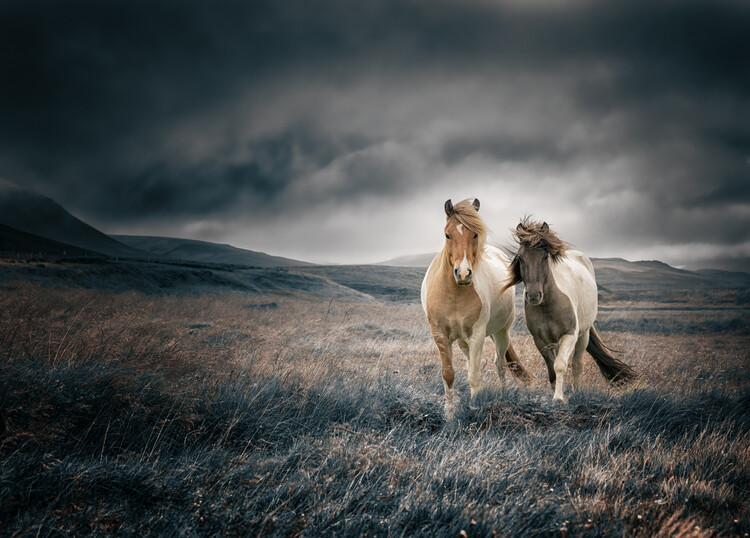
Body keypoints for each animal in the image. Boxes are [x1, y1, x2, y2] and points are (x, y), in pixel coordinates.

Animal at [424, 199, 536, 412]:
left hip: (501, 332)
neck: (454, 293)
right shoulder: (440, 335)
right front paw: (449, 413)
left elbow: (475, 377)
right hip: (463, 341)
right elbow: (449, 374)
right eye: (447, 234)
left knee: (500, 364)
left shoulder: (477, 334)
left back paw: (503, 393)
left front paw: (474, 409)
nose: (463, 274)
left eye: (475, 234)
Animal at [502, 217, 636, 398]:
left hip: (583, 334)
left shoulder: (569, 334)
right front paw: (555, 394)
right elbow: (552, 371)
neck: (549, 306)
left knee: (577, 364)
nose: (534, 295)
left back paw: (576, 391)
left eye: (545, 257)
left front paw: (559, 398)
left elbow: (561, 365)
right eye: (520, 258)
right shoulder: (541, 341)